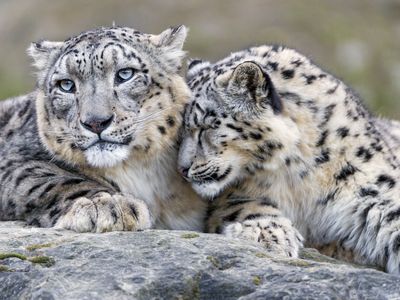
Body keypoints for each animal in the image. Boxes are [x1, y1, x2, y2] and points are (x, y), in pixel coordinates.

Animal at [0, 25, 206, 232]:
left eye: (125, 74)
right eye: (66, 84)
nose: (96, 122)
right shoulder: (13, 163)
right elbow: (51, 179)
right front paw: (109, 205)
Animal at [178, 45, 400, 274]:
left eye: (206, 126)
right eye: (180, 132)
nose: (182, 169)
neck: (300, 176)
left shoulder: (373, 187)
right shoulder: (233, 195)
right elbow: (246, 206)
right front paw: (266, 234)